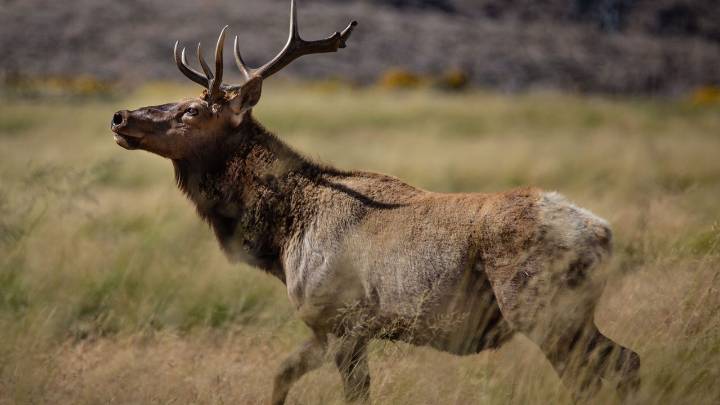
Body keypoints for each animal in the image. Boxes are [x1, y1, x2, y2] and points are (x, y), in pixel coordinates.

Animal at [110, 1, 640, 403]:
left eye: (192, 110)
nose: (120, 117)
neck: (281, 240)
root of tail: (603, 233)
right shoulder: (331, 328)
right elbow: (280, 375)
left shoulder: (340, 318)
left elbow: (349, 393)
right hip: (567, 312)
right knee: (625, 361)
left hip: (542, 307)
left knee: (606, 368)